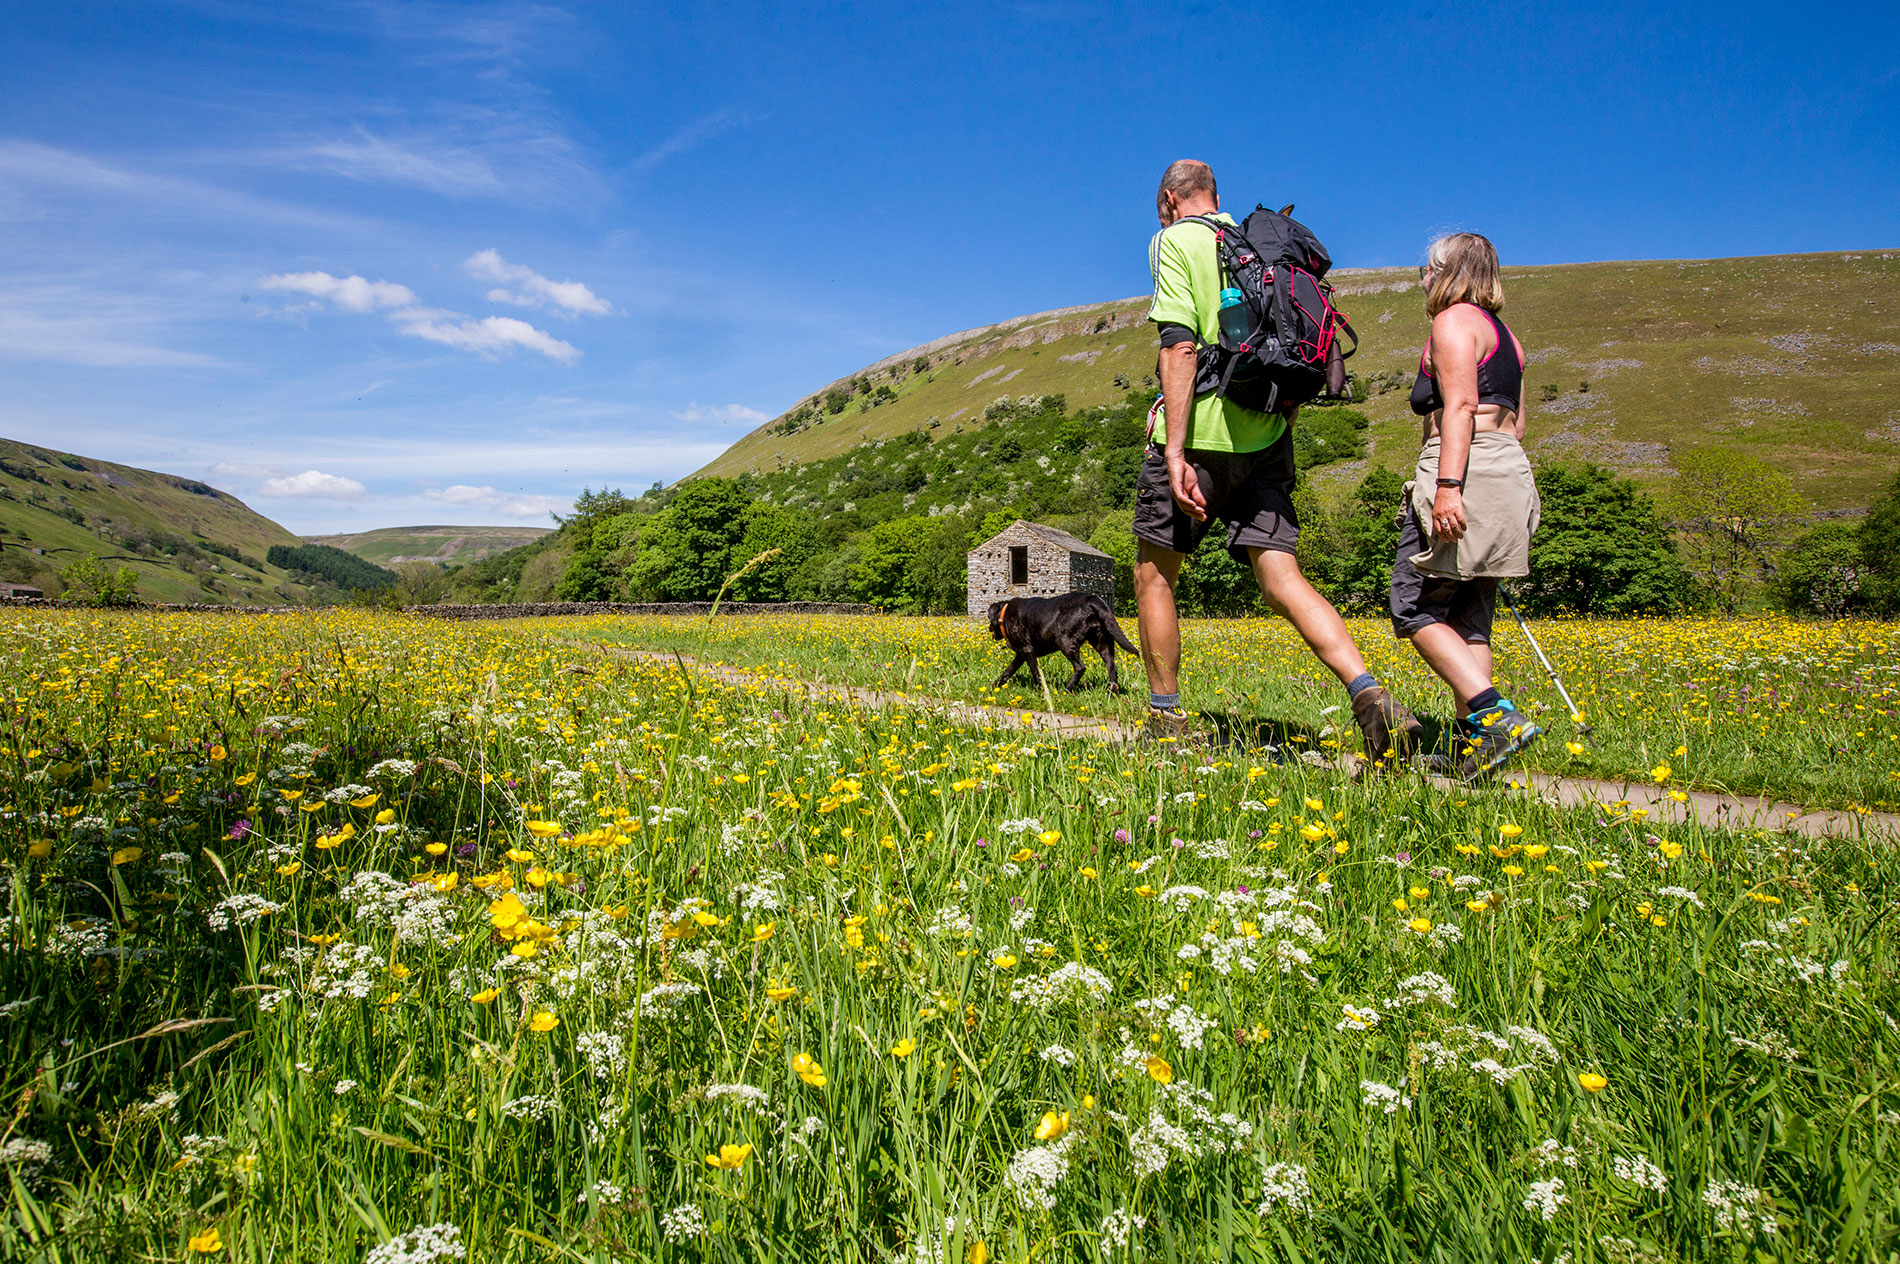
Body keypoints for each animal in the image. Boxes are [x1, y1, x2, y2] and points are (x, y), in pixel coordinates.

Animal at [988, 593, 1132, 691]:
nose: (989, 629)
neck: (1003, 615)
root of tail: (1091, 599)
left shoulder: (1027, 650)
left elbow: (1036, 672)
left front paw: (1042, 691)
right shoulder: (1021, 655)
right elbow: (1008, 671)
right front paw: (994, 686)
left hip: (1065, 641)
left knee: (1080, 667)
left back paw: (1066, 690)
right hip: (1103, 642)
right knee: (1112, 667)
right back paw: (1112, 693)